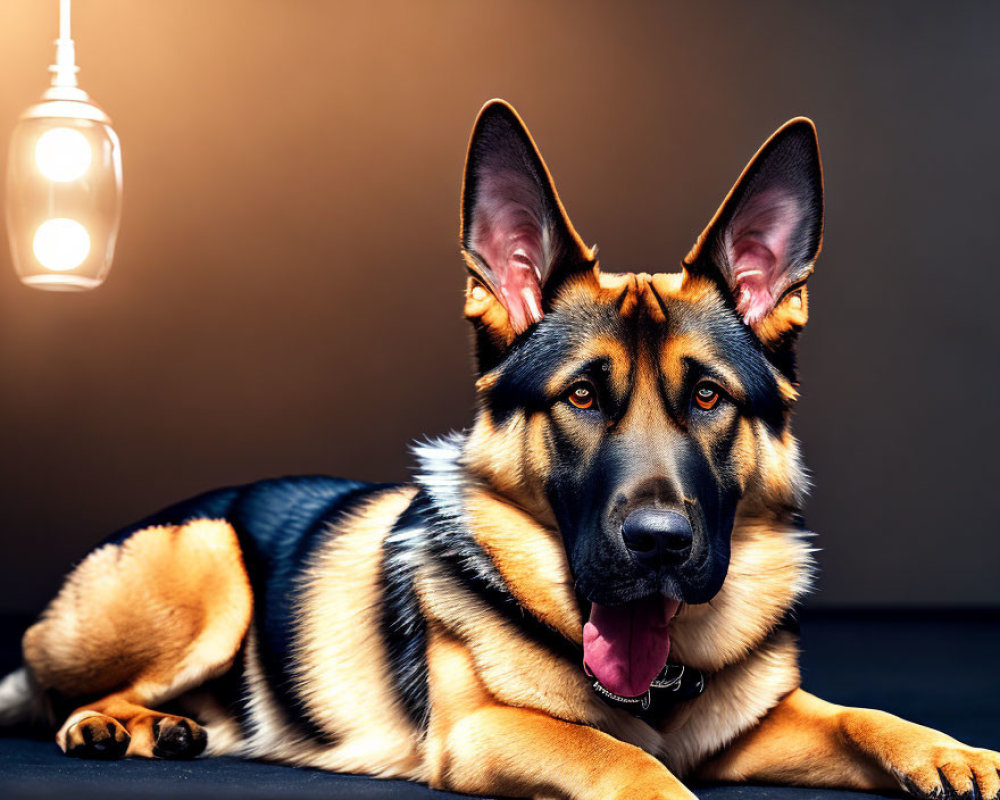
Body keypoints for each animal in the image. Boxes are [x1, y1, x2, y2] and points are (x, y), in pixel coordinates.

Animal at [1, 101, 1000, 800]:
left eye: (709, 397)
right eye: (583, 397)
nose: (659, 545)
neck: (655, 683)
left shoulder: (764, 726)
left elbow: (866, 715)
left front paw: (952, 751)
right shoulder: (487, 733)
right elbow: (625, 762)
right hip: (210, 557)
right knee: (63, 696)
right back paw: (122, 724)